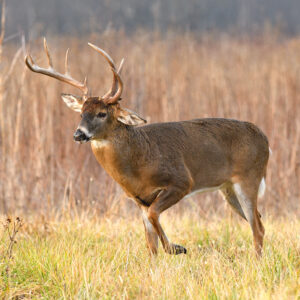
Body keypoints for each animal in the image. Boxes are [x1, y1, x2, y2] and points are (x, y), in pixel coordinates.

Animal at [25, 39, 270, 255]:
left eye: (102, 113)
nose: (78, 134)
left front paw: (176, 248)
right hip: (228, 189)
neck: (139, 161)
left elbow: (155, 217)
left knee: (257, 228)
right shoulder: (140, 200)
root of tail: (265, 139)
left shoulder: (182, 181)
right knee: (259, 221)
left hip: (248, 178)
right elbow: (150, 244)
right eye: (81, 113)